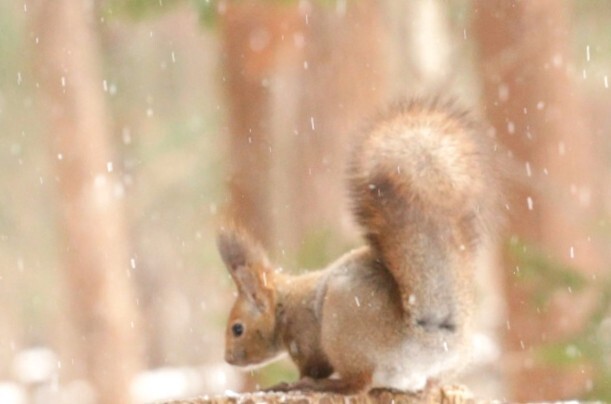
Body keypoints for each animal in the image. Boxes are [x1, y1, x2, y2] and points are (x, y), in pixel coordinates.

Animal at [218, 98, 500, 394]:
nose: (228, 359)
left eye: (237, 328)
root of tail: (421, 342)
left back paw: (324, 386)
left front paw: (293, 383)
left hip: (342, 330)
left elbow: (314, 367)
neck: (284, 306)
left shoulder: (306, 340)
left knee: (357, 384)